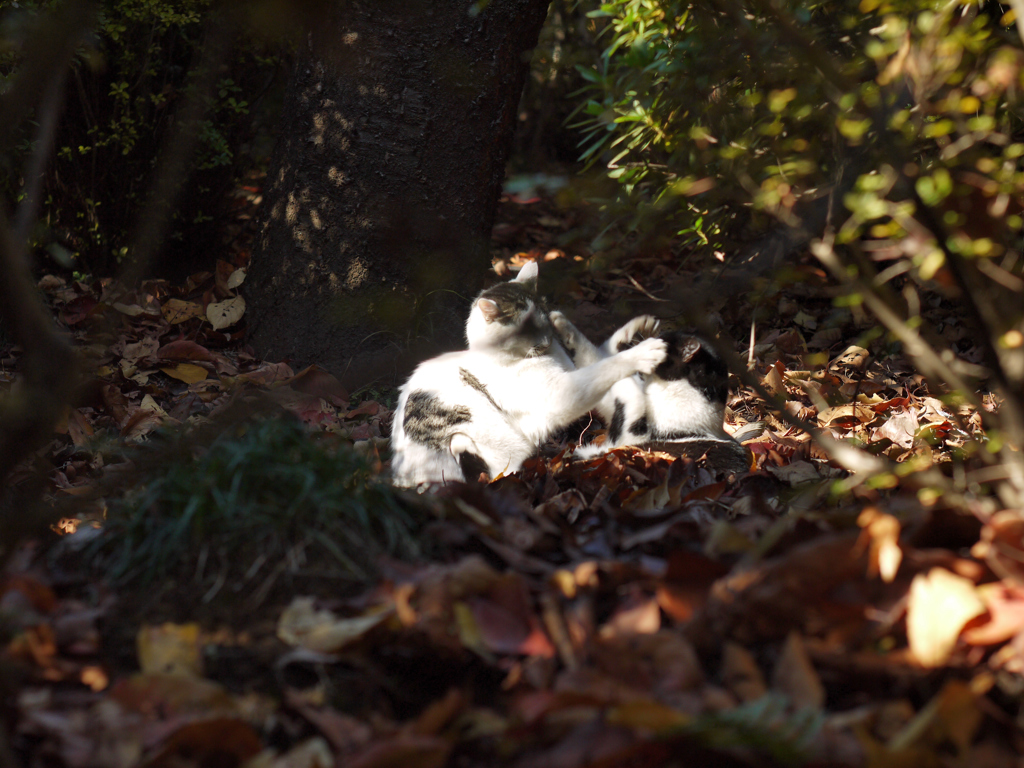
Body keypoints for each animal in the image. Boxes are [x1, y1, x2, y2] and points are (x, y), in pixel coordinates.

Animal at [387, 264, 667, 489]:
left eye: (544, 322)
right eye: (524, 331)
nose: (546, 340)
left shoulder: (576, 370)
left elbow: (598, 354)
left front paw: (631, 330)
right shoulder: (563, 394)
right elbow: (605, 367)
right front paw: (641, 353)